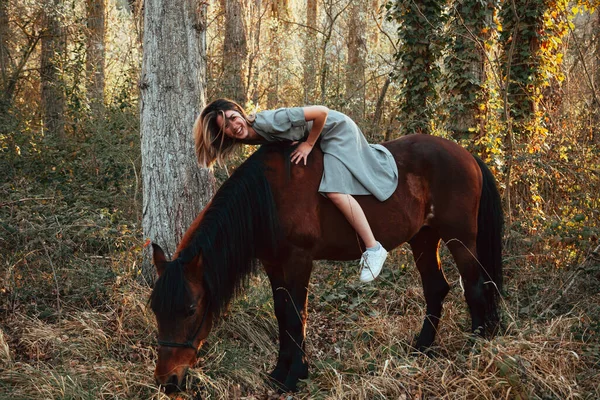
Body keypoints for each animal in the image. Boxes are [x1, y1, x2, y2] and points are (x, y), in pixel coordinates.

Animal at [149, 134, 502, 394]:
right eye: (156, 309)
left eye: (190, 309)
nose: (167, 381)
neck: (269, 196)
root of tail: (467, 156)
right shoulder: (273, 264)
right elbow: (282, 314)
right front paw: (279, 372)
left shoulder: (298, 260)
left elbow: (296, 316)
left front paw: (295, 376)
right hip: (424, 238)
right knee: (436, 289)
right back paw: (422, 348)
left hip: (459, 238)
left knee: (474, 287)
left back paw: (476, 346)